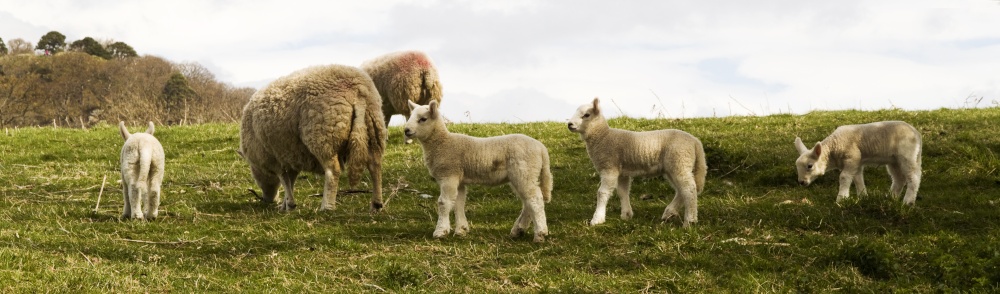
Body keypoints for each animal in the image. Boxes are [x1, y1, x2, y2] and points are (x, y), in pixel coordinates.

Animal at [238, 63, 386, 211]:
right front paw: (287, 205)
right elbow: (290, 180)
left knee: (333, 170)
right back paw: (376, 204)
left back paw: (327, 206)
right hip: (374, 126)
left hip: (324, 133)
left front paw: (288, 204)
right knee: (375, 164)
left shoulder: (273, 158)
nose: (268, 200)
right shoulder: (292, 155)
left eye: (255, 177)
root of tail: (357, 88)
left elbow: (284, 179)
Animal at [402, 100, 552, 242]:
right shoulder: (459, 179)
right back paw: (518, 230)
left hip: (524, 172)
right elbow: (458, 203)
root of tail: (542, 149)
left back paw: (540, 234)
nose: (406, 130)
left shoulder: (449, 175)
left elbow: (444, 202)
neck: (442, 143)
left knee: (535, 200)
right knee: (528, 202)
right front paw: (461, 230)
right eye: (411, 116)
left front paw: (440, 231)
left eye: (423, 119)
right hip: (522, 175)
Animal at [568, 97, 708, 226]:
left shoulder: (609, 167)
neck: (603, 137)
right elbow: (622, 192)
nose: (569, 124)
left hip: (680, 161)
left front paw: (597, 219)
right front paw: (626, 215)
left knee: (689, 189)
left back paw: (690, 221)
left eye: (587, 115)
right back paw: (669, 212)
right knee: (682, 190)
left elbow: (602, 193)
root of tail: (695, 142)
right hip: (673, 167)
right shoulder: (622, 172)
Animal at [792, 119, 924, 204]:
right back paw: (891, 198)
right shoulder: (856, 163)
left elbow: (844, 177)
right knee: (899, 179)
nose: (801, 182)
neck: (833, 147)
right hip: (894, 160)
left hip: (907, 155)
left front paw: (841, 199)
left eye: (810, 166)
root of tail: (916, 133)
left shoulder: (852, 157)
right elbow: (857, 179)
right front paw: (863, 196)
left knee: (913, 177)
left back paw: (908, 201)